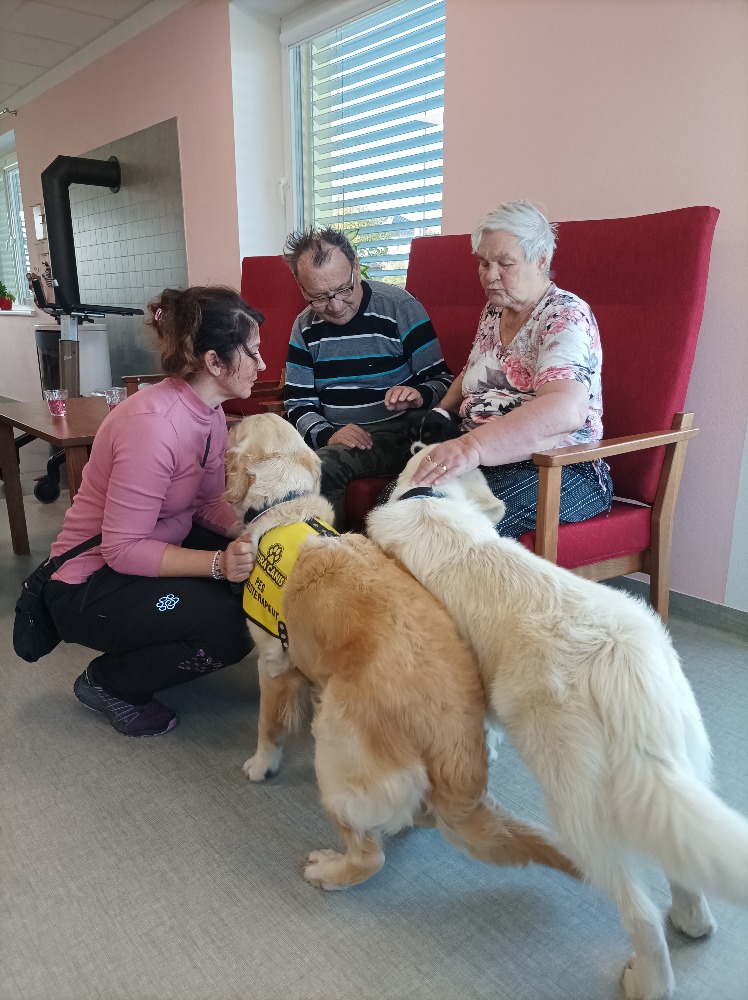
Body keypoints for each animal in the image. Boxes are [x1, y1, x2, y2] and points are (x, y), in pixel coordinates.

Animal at [225, 414, 577, 889]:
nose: (225, 422)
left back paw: (328, 869)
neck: (286, 509)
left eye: (236, 429)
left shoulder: (272, 660)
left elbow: (268, 726)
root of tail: (453, 744)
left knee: (369, 855)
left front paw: (261, 764)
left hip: (335, 744)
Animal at [366, 445, 748, 1000]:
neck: (431, 499)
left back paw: (648, 980)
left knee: (638, 910)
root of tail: (620, 668)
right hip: (684, 761)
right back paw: (692, 919)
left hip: (576, 801)